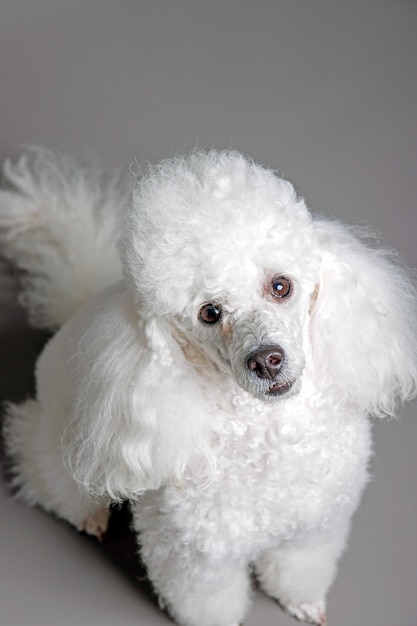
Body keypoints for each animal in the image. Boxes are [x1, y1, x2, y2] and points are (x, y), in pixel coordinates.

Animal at [0, 146, 416, 624]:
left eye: (281, 286)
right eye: (210, 313)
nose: (266, 360)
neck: (268, 433)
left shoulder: (314, 526)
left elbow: (298, 566)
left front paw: (302, 601)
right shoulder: (196, 555)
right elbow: (208, 600)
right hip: (61, 444)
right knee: (40, 467)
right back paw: (89, 514)